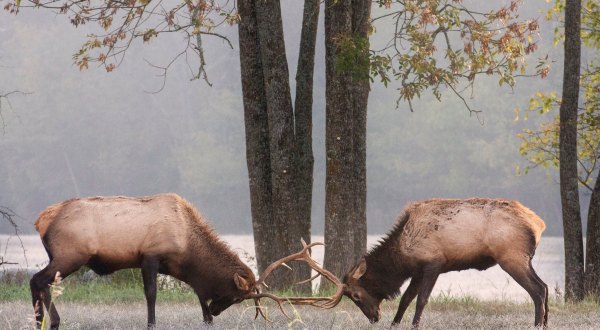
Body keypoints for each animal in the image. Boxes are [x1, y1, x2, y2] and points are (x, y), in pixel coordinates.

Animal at [338, 197, 548, 328]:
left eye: (356, 296)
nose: (374, 318)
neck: (402, 258)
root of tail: (538, 224)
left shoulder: (434, 263)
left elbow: (421, 300)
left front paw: (414, 325)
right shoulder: (418, 270)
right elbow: (405, 299)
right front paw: (394, 324)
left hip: (511, 257)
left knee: (537, 290)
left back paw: (537, 325)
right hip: (525, 259)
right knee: (545, 286)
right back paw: (546, 324)